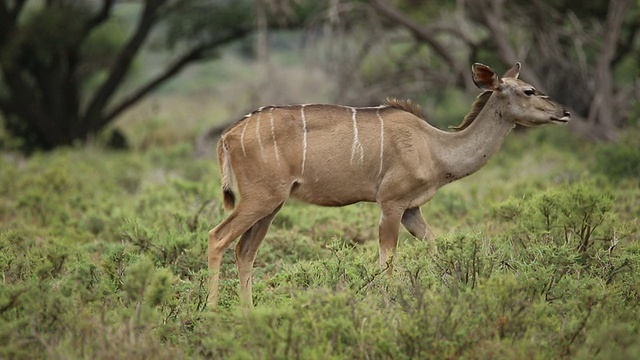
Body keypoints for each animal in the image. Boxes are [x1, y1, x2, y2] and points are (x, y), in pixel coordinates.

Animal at [209, 62, 568, 306]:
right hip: (260, 198)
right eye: (529, 90)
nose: (564, 112)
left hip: (272, 205)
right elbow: (388, 259)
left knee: (244, 250)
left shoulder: (412, 210)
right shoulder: (391, 204)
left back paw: (248, 312)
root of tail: (228, 136)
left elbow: (436, 245)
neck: (433, 148)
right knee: (218, 237)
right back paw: (212, 311)